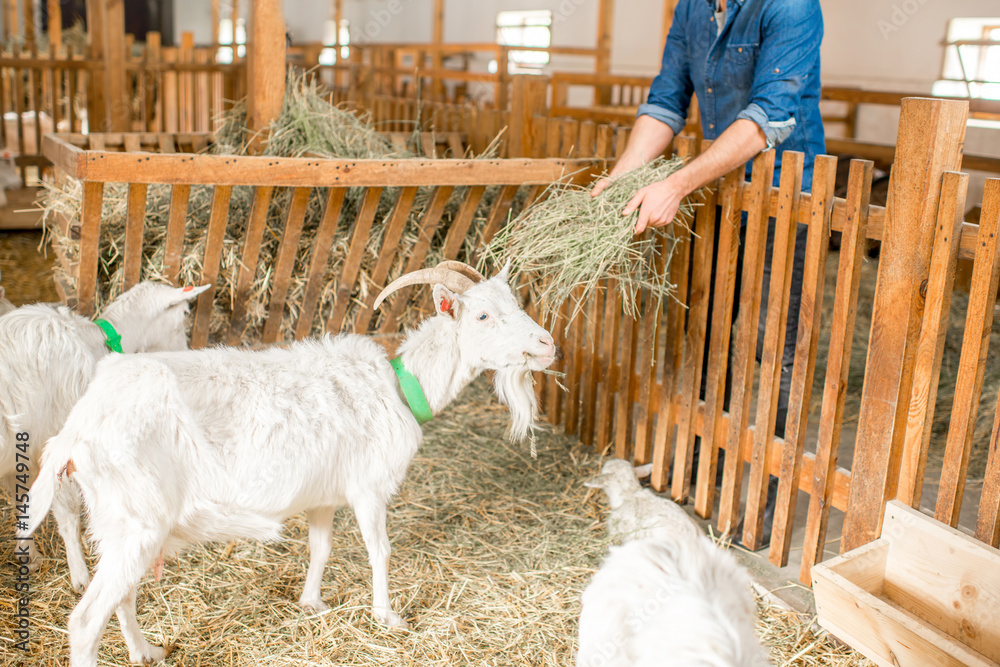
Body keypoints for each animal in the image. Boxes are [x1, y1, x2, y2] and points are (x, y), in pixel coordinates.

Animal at [1, 280, 209, 592]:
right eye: (184, 313)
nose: (187, 351)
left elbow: (22, 499)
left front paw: (29, 554)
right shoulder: (57, 436)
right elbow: (66, 511)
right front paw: (80, 576)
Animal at [23, 260, 556, 667]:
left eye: (515, 304)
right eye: (483, 315)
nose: (547, 344)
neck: (399, 388)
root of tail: (77, 429)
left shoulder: (325, 497)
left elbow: (321, 549)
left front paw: (312, 603)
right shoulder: (368, 489)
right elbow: (379, 551)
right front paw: (388, 617)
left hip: (121, 523)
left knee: (123, 595)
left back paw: (146, 651)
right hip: (137, 519)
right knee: (86, 620)